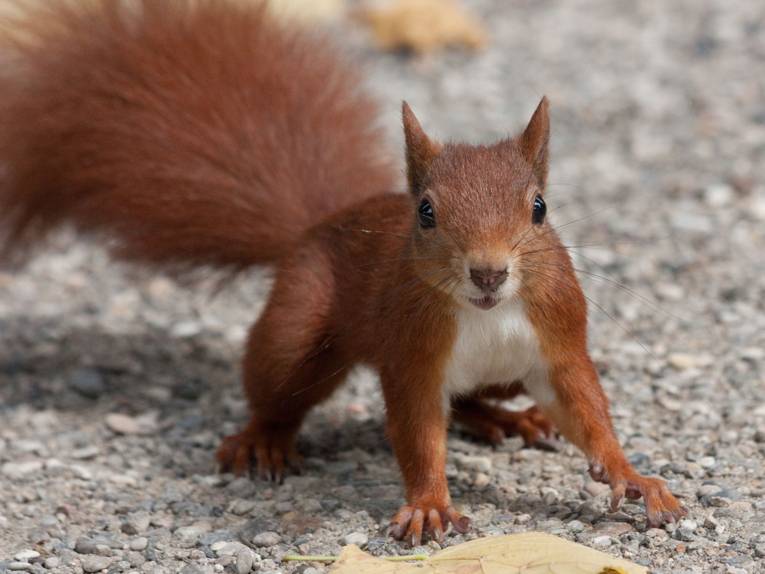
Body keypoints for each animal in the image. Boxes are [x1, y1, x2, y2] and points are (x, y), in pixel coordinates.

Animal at [0, 0, 685, 545]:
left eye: (539, 208)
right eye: (426, 212)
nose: (489, 273)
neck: (487, 314)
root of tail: (317, 224)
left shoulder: (557, 340)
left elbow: (585, 410)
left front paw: (633, 476)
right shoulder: (410, 357)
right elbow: (417, 433)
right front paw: (430, 505)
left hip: (502, 375)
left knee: (472, 400)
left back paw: (508, 418)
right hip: (298, 323)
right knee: (277, 386)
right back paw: (263, 439)